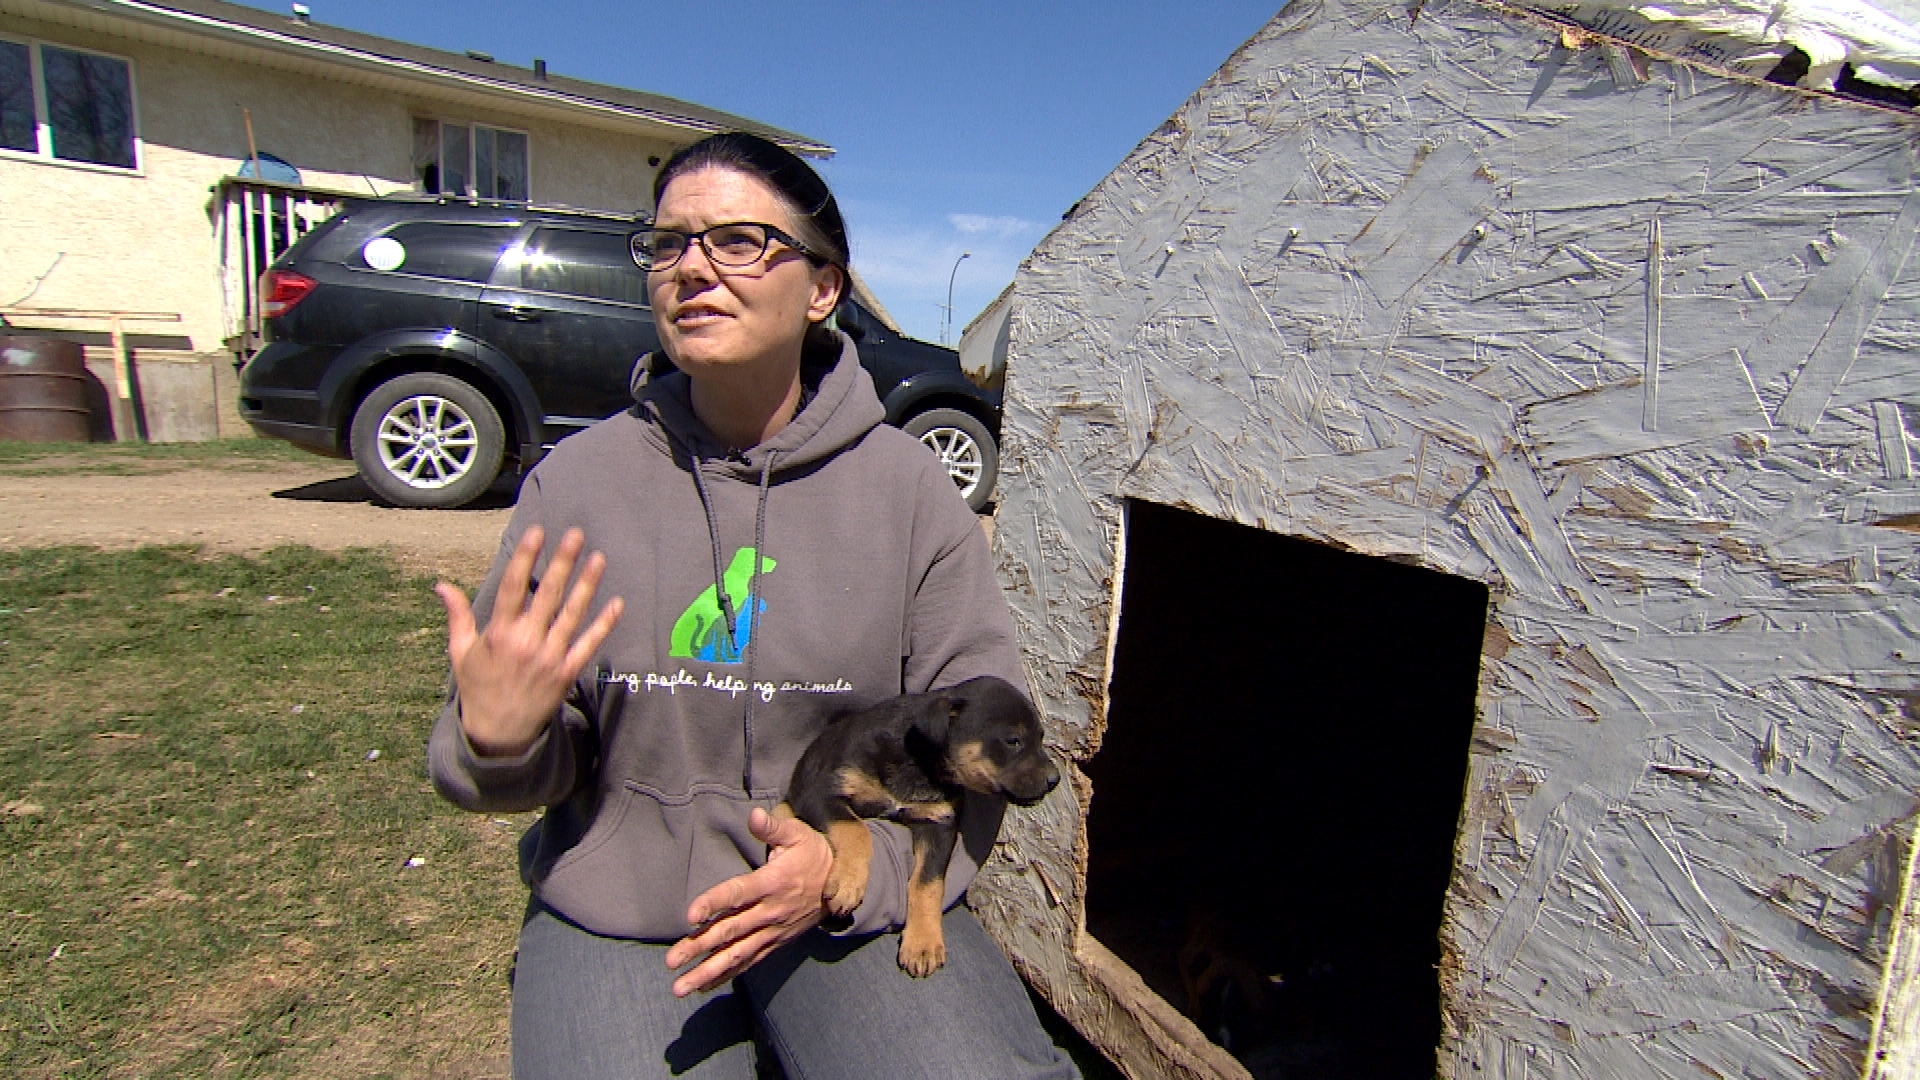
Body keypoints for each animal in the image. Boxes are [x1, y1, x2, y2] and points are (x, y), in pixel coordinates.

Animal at [771, 676, 1059, 972]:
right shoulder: (820, 793)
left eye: (1041, 738)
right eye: (1013, 740)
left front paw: (923, 943)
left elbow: (928, 883)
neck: (919, 761)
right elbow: (855, 829)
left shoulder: (938, 823)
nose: (1055, 780)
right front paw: (848, 883)